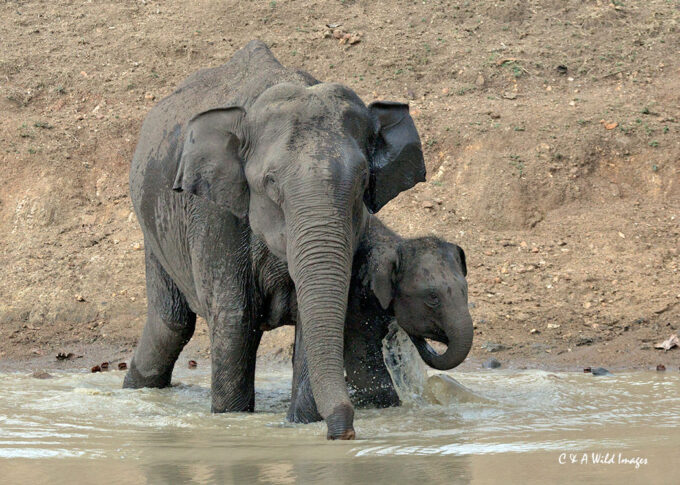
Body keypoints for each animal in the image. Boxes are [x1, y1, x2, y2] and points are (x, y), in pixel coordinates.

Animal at [123, 40, 426, 440]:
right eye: (270, 183)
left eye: (363, 181)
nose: (346, 432)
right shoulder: (214, 214)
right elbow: (235, 320)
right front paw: (231, 421)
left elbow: (314, 319)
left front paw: (301, 424)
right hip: (154, 228)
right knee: (170, 324)